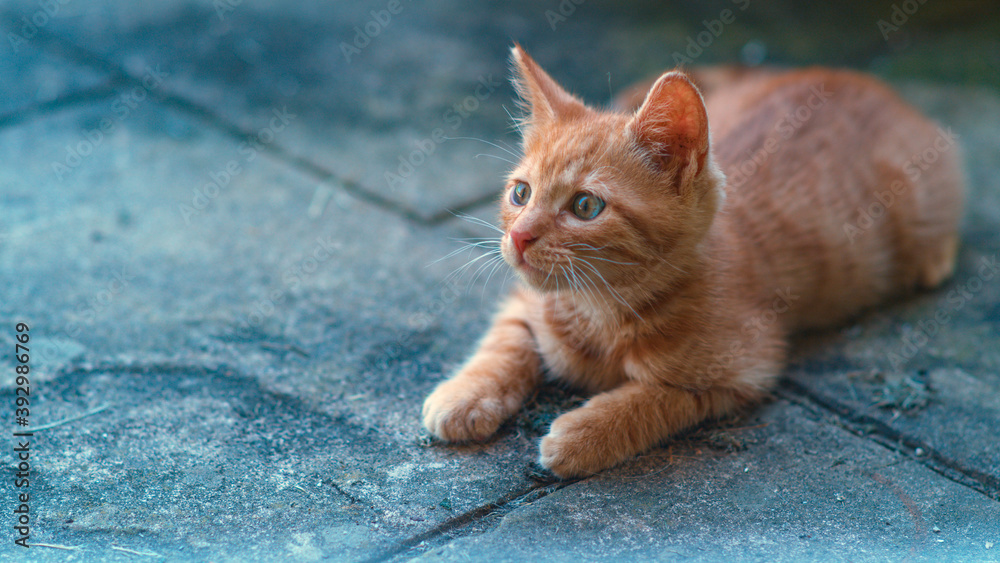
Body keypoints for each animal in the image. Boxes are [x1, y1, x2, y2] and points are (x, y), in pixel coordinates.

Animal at [420, 44, 960, 478]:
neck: (597, 311)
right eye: (521, 193)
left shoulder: (745, 369)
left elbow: (656, 398)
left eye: (586, 206)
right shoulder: (525, 303)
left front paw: (583, 434)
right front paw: (465, 394)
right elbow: (505, 342)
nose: (519, 236)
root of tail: (863, 81)